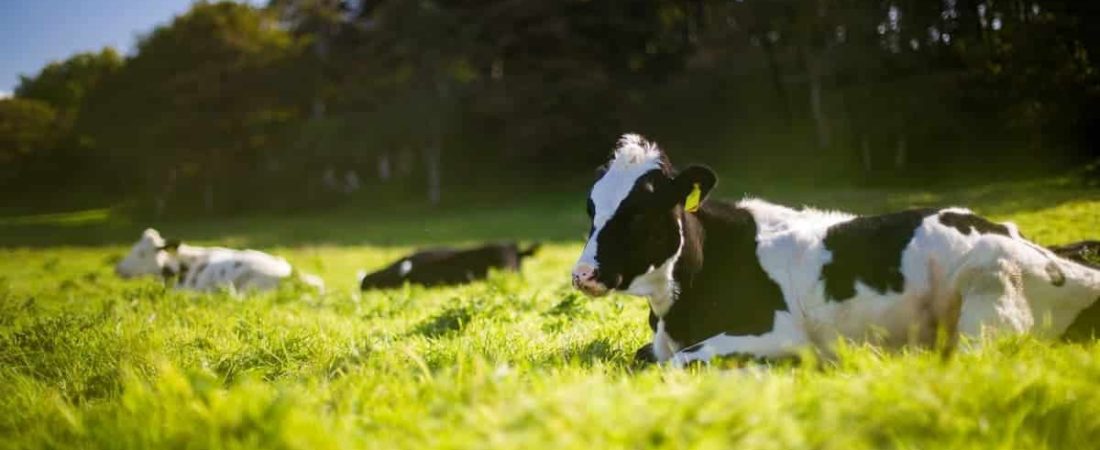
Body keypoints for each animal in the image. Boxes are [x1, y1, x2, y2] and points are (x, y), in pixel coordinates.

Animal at [567, 134, 1100, 367]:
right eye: (591, 208)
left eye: (641, 211)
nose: (582, 274)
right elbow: (648, 358)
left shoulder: (777, 331)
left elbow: (678, 362)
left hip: (988, 301)